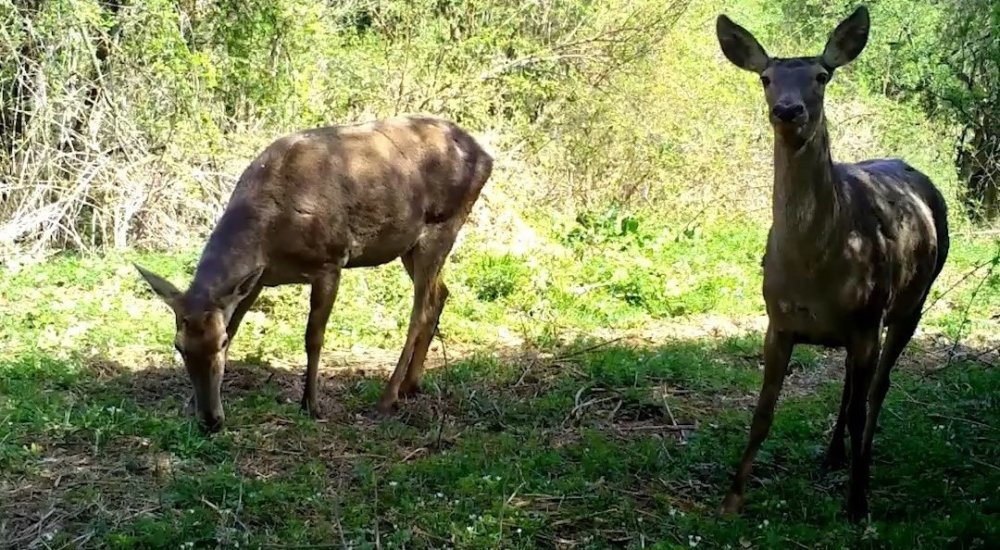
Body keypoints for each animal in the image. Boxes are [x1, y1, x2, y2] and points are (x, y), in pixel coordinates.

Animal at [133, 115, 492, 436]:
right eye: (178, 345)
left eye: (218, 343)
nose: (209, 420)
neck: (270, 236)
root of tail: (486, 155)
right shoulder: (256, 280)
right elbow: (236, 324)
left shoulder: (330, 262)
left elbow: (312, 337)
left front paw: (311, 403)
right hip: (410, 245)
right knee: (440, 293)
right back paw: (411, 384)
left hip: (444, 224)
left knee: (420, 310)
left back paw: (388, 397)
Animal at [716, 6, 948, 524]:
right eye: (765, 77)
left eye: (822, 76)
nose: (788, 110)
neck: (814, 270)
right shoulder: (778, 321)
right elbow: (762, 411)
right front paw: (732, 498)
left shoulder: (868, 318)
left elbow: (864, 406)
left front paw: (858, 505)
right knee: (850, 384)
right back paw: (833, 454)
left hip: (912, 302)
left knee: (877, 389)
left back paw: (860, 463)